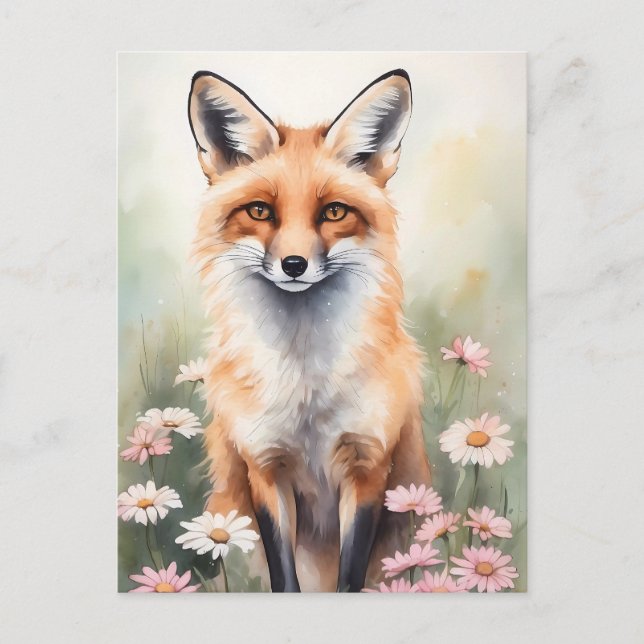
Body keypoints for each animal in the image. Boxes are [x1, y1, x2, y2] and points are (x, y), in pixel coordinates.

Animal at [187, 68, 432, 592]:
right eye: (260, 211)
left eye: (334, 212)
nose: (294, 265)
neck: (305, 387)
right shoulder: (265, 468)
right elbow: (285, 578)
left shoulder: (368, 466)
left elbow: (350, 576)